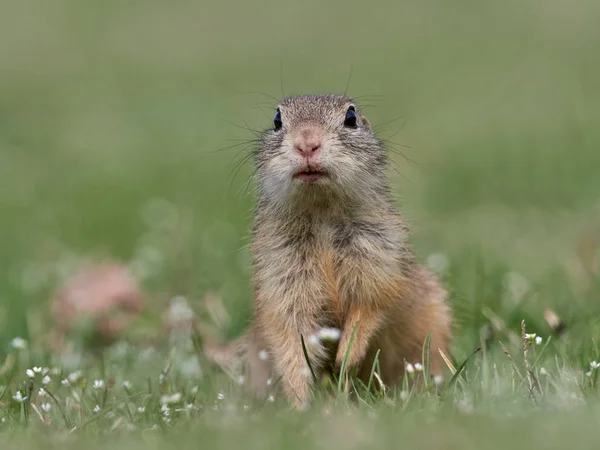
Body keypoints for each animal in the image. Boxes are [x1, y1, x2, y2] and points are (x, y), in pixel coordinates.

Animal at [205, 93, 450, 410]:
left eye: (351, 118)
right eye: (277, 120)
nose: (307, 143)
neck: (321, 210)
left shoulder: (379, 252)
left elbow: (373, 300)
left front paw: (346, 356)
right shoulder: (282, 273)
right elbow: (290, 335)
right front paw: (300, 404)